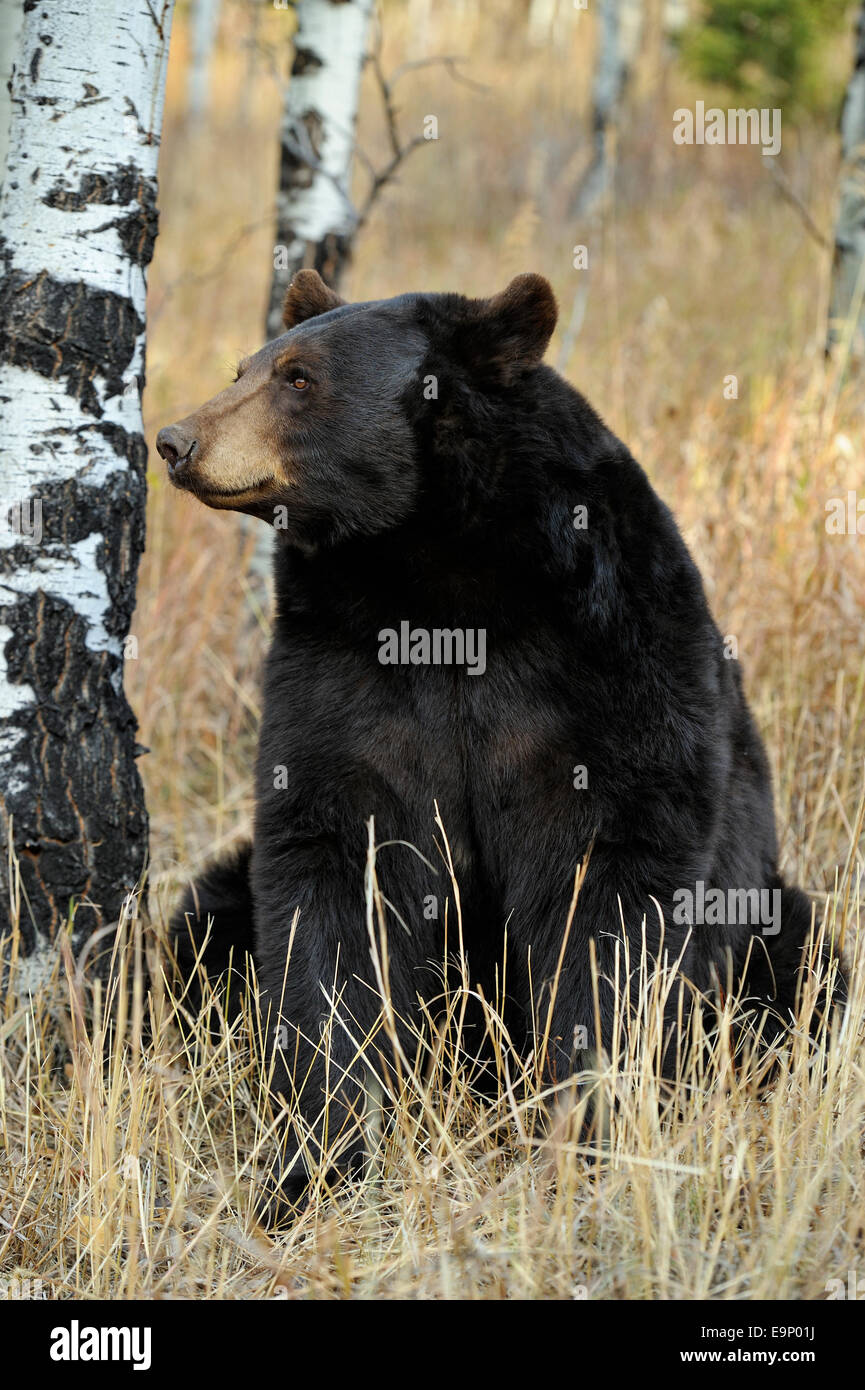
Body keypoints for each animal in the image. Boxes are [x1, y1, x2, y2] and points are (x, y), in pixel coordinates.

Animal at [157, 268, 845, 1206]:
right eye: (245, 368)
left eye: (298, 378)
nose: (174, 439)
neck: (439, 580)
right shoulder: (340, 670)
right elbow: (328, 877)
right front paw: (314, 1162)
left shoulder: (606, 658)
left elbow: (609, 887)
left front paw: (586, 1141)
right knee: (205, 922)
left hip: (761, 916)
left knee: (806, 967)